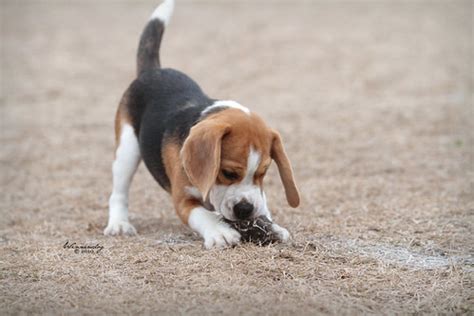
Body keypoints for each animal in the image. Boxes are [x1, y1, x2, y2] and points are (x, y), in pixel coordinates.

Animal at [104, 0, 300, 249]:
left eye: (263, 172)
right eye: (227, 172)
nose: (245, 209)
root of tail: (153, 70)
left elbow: (262, 204)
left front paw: (271, 226)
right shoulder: (182, 199)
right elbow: (202, 215)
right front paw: (220, 232)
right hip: (127, 149)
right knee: (119, 192)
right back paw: (119, 224)